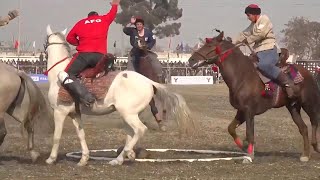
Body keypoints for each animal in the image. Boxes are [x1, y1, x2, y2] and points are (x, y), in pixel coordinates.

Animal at [44, 25, 195, 166]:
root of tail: (148, 81)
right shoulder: (75, 114)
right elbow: (81, 135)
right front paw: (83, 159)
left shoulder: (59, 112)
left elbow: (56, 136)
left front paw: (51, 159)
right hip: (129, 114)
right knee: (130, 134)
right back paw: (120, 158)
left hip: (128, 114)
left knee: (139, 130)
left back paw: (127, 154)